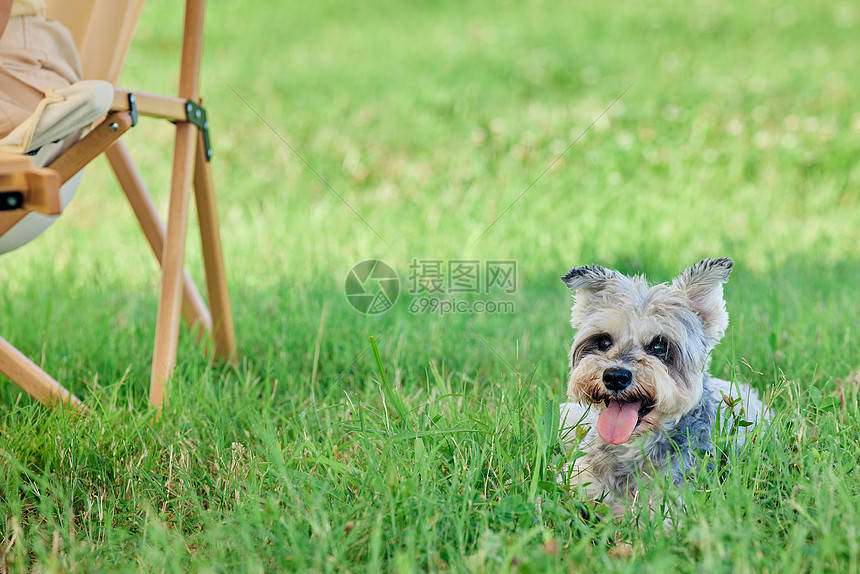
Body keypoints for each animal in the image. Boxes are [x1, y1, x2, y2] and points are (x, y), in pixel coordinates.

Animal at [560, 258, 768, 520]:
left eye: (659, 346)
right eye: (604, 341)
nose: (615, 377)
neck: (632, 447)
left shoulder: (672, 508)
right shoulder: (573, 485)